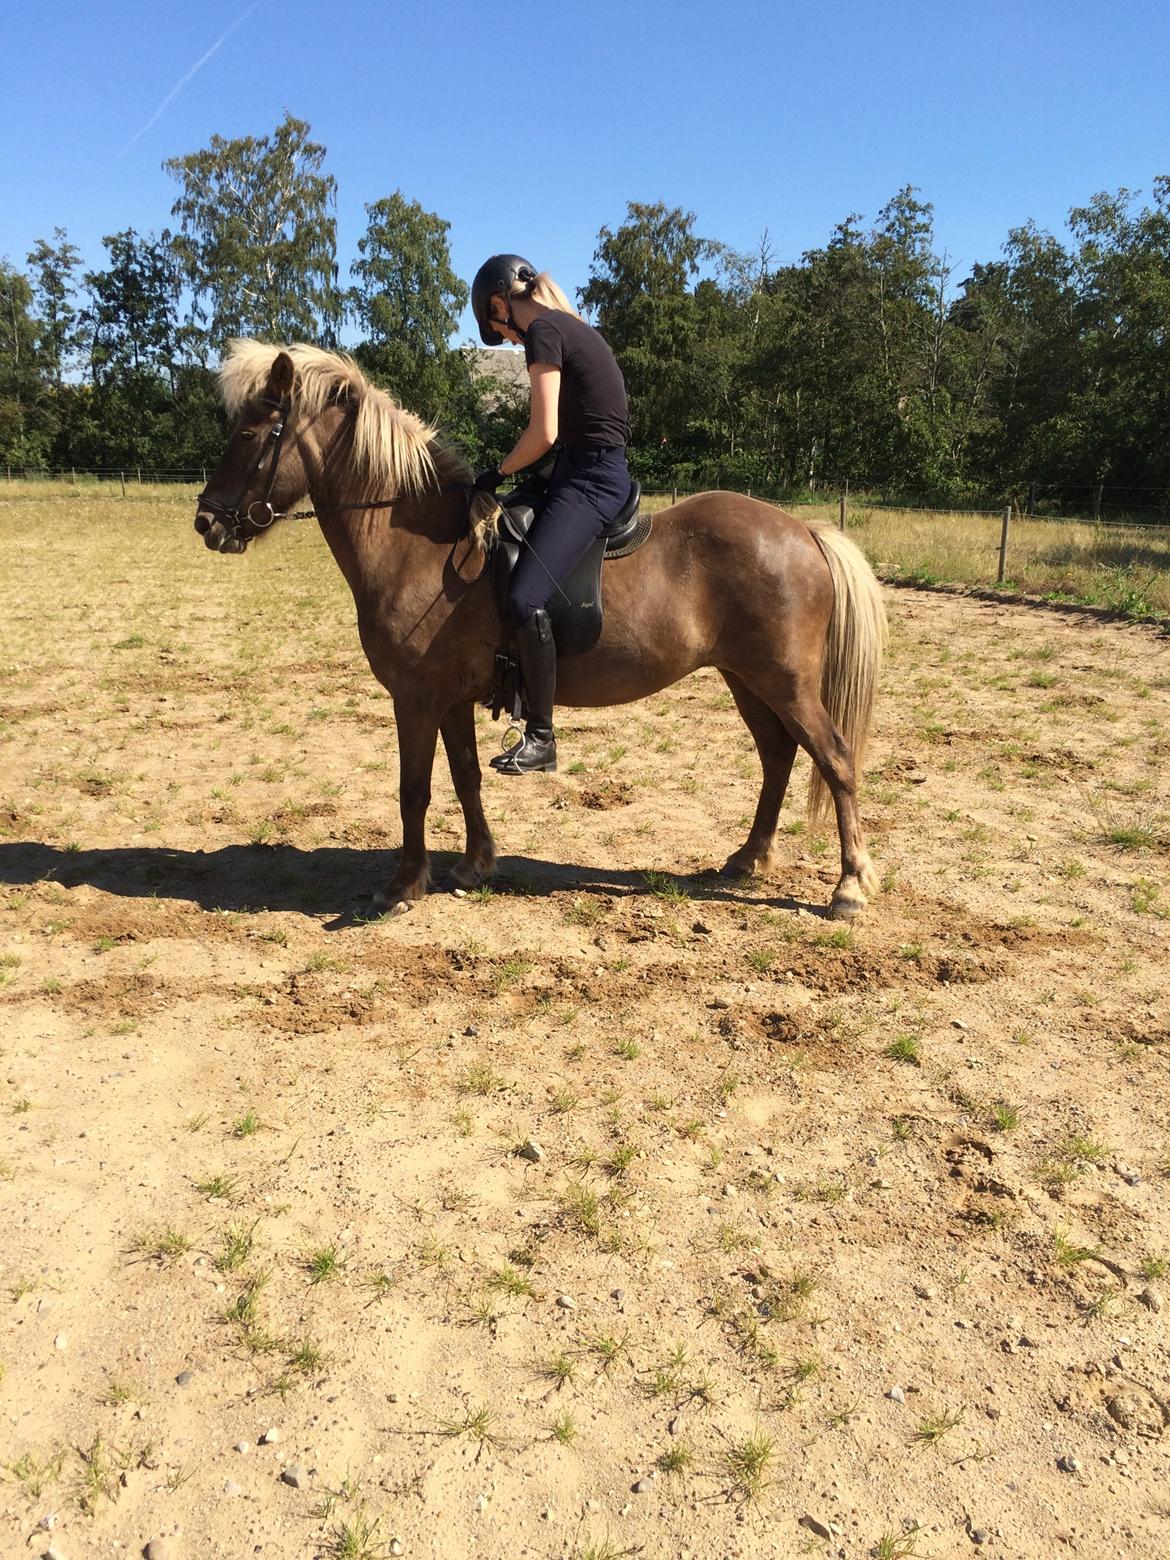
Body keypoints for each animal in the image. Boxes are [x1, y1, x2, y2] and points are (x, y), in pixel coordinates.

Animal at [195, 341, 886, 917]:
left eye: (252, 432)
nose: (207, 522)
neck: (416, 546)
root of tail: (804, 531)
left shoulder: (415, 699)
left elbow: (413, 789)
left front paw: (402, 886)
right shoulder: (451, 700)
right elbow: (465, 777)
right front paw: (473, 866)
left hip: (784, 681)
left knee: (834, 759)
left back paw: (848, 888)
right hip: (747, 678)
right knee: (778, 756)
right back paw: (748, 859)